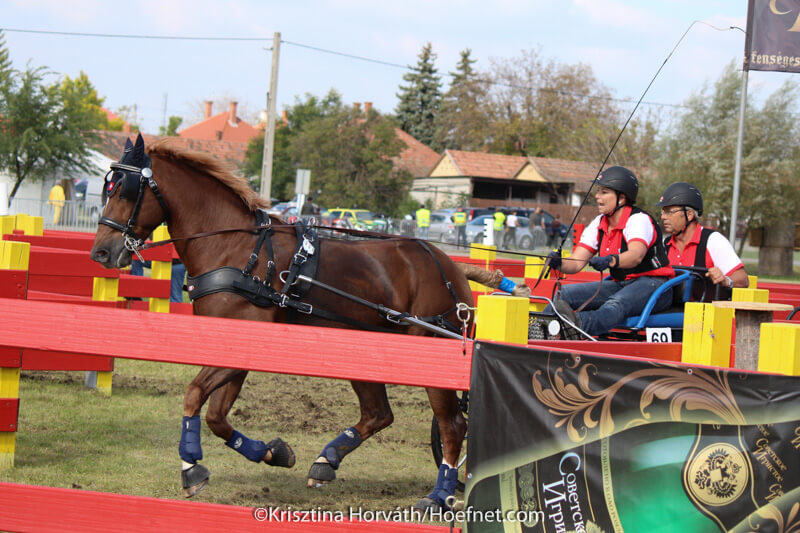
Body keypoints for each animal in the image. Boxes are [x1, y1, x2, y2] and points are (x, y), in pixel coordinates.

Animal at [89, 134, 470, 510]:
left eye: (124, 190)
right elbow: (216, 416)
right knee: (379, 414)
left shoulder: (243, 347)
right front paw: (274, 452)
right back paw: (327, 460)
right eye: (107, 188)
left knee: (453, 425)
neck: (234, 248)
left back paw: (440, 494)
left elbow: (195, 394)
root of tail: (448, 266)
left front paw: (190, 466)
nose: (100, 253)